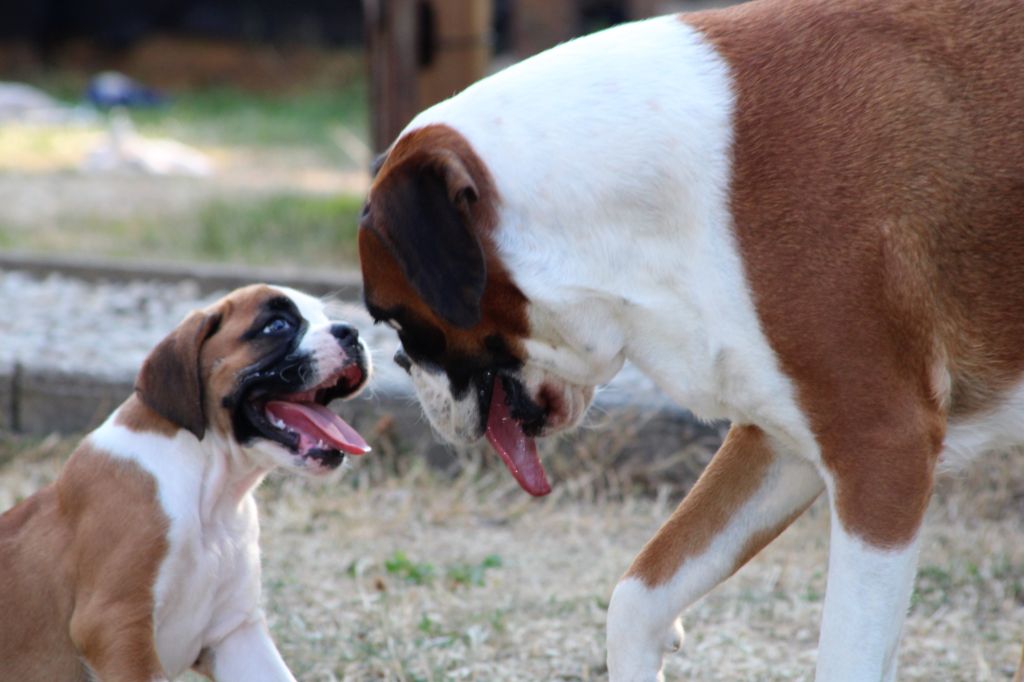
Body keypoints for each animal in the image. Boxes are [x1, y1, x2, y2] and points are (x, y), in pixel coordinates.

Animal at [0, 284, 374, 675]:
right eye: (277, 325)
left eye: (327, 316)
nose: (351, 332)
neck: (212, 492)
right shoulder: (115, 626)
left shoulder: (234, 633)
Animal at [354, 2, 1024, 675]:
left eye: (395, 318)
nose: (394, 359)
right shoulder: (778, 441)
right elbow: (637, 598)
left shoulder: (882, 453)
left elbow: (844, 658)